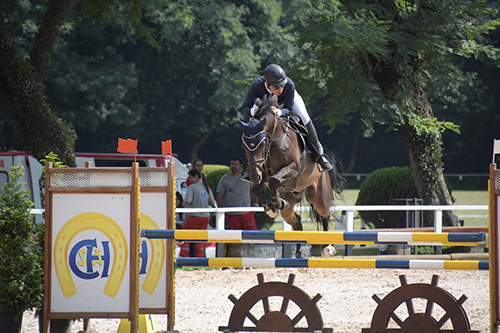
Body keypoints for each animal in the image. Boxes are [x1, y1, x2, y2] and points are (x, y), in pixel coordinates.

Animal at [238, 93, 344, 256]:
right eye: (244, 146)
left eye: (262, 143)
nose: (255, 176)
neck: (275, 140)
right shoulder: (262, 172)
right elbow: (258, 187)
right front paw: (272, 207)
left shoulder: (293, 168)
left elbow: (275, 180)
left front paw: (274, 204)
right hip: (290, 201)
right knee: (297, 221)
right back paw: (298, 251)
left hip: (318, 195)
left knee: (324, 214)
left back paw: (328, 248)